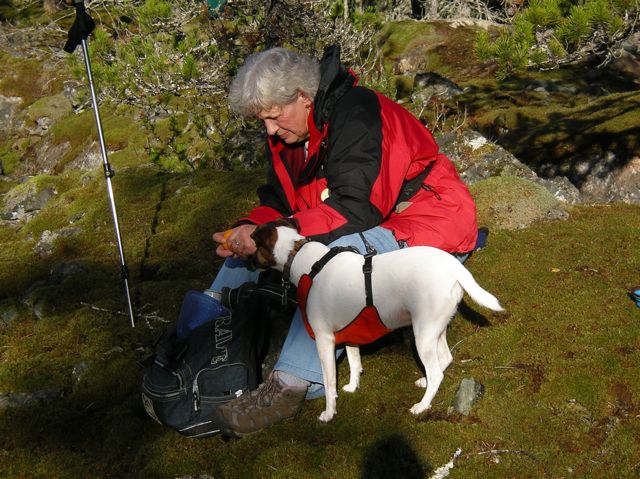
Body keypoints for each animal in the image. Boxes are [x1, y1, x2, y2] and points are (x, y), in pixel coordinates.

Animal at [250, 218, 504, 422]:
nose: (247, 262)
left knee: (436, 373)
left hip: (422, 334)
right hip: (435, 328)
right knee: (445, 359)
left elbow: (329, 382)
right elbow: (355, 363)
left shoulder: (323, 341)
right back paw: (425, 382)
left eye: (253, 247)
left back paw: (422, 405)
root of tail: (451, 264)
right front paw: (353, 386)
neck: (301, 258)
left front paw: (329, 413)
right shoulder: (349, 333)